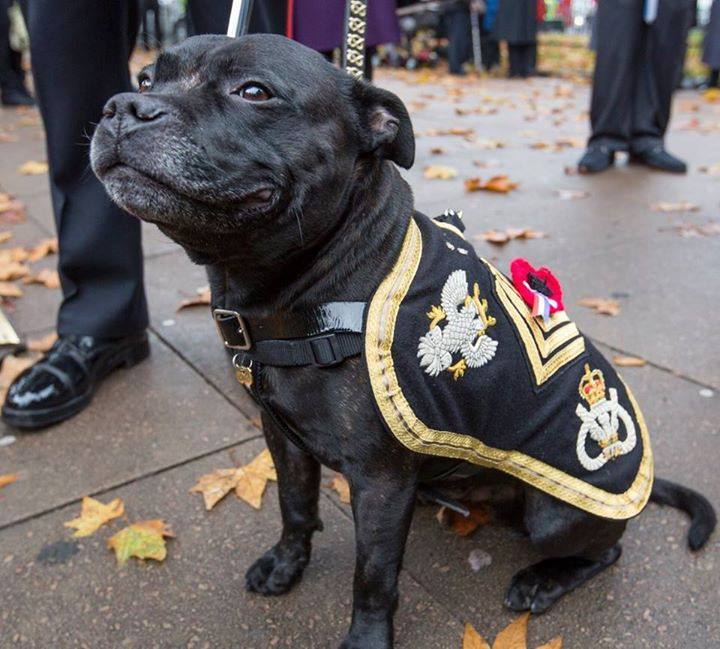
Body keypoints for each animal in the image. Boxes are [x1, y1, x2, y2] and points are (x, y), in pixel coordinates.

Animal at [91, 36, 716, 648]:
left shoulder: (380, 483)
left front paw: (366, 640)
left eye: (253, 92)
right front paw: (285, 565)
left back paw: (543, 580)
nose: (123, 105)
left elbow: (372, 576)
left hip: (557, 516)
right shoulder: (284, 441)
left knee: (606, 551)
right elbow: (295, 507)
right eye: (146, 78)